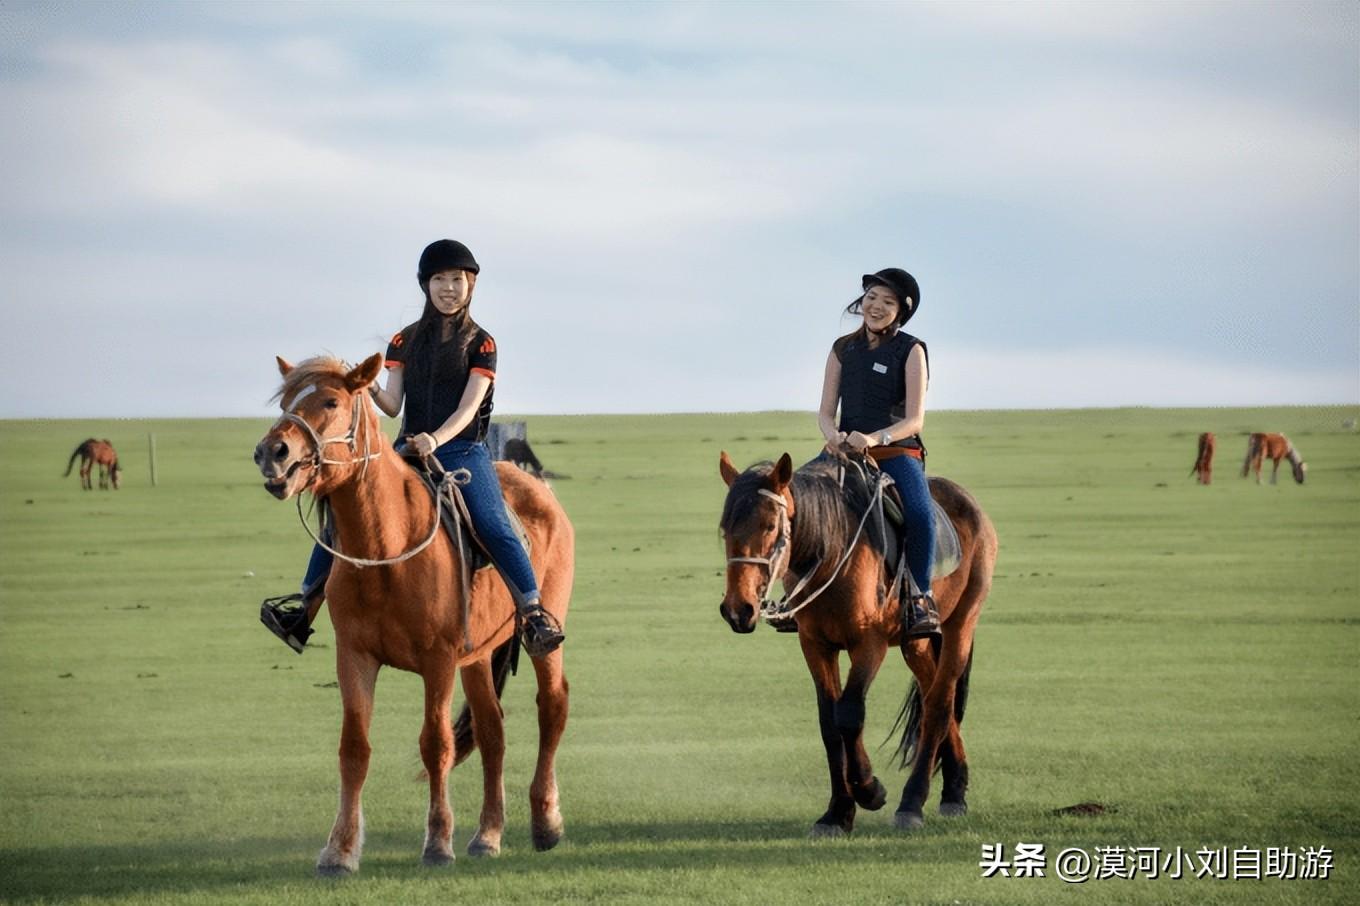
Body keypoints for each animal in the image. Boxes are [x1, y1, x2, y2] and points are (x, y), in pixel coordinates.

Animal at [251, 350, 573, 870]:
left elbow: (435, 742)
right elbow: (354, 748)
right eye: (285, 402)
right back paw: (488, 834)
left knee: (552, 706)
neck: (387, 548)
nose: (271, 453)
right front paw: (339, 850)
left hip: (542, 641)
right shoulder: (355, 657)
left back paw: (546, 822)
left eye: (331, 401)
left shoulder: (437, 660)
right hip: (477, 656)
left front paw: (438, 842)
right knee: (492, 730)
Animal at [718, 451, 995, 832]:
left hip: (961, 623)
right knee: (934, 695)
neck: (832, 549)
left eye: (770, 526)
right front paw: (837, 813)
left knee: (939, 704)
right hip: (915, 642)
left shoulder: (868, 643)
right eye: (725, 529)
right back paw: (954, 790)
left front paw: (869, 789)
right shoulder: (815, 644)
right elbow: (829, 723)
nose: (737, 610)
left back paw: (912, 803)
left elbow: (849, 714)